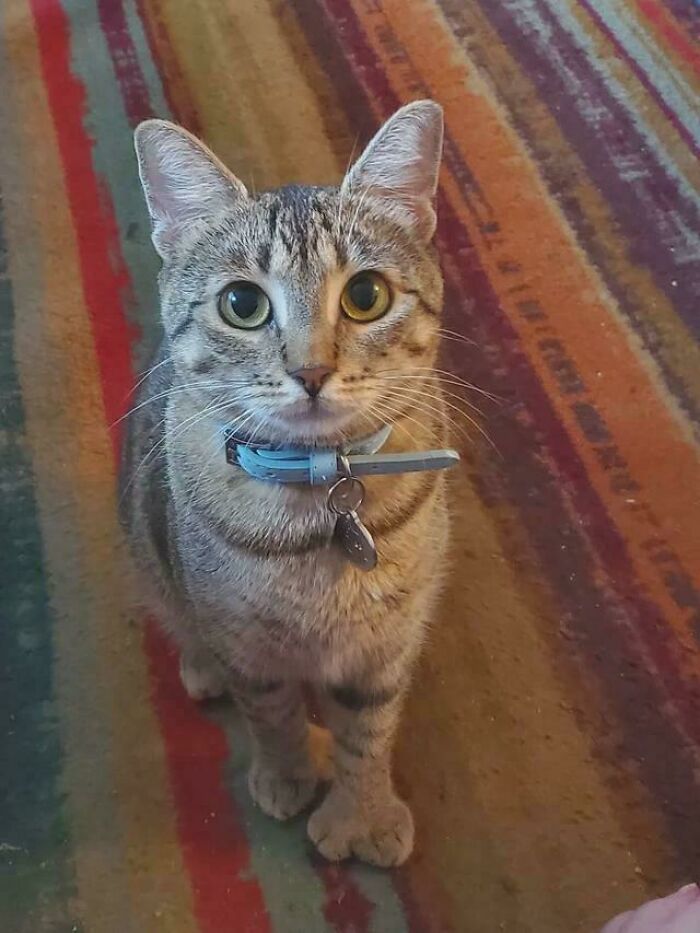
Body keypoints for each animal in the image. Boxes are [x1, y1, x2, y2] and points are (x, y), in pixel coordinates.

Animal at [120, 98, 448, 864]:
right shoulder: (248, 645)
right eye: (242, 303)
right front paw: (289, 773)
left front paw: (364, 812)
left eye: (366, 295)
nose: (311, 371)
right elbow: (270, 715)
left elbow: (369, 733)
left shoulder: (385, 650)